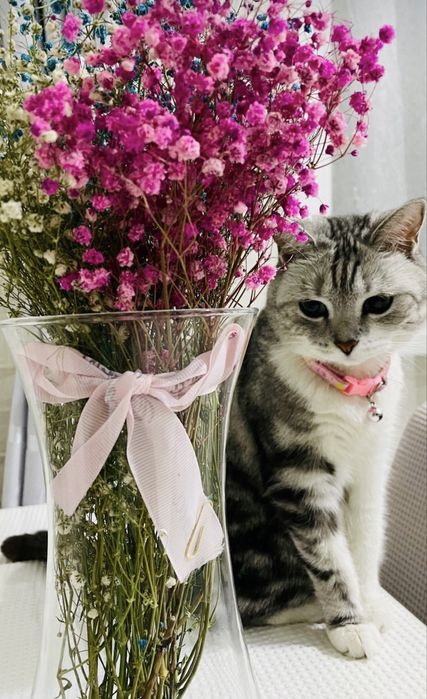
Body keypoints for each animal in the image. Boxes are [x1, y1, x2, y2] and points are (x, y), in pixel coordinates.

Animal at [225, 198, 426, 659]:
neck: (351, 394)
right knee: (252, 607)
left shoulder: (371, 470)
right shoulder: (300, 475)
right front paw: (352, 625)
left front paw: (370, 603)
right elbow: (331, 558)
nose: (347, 343)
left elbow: (365, 543)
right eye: (313, 308)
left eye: (378, 303)